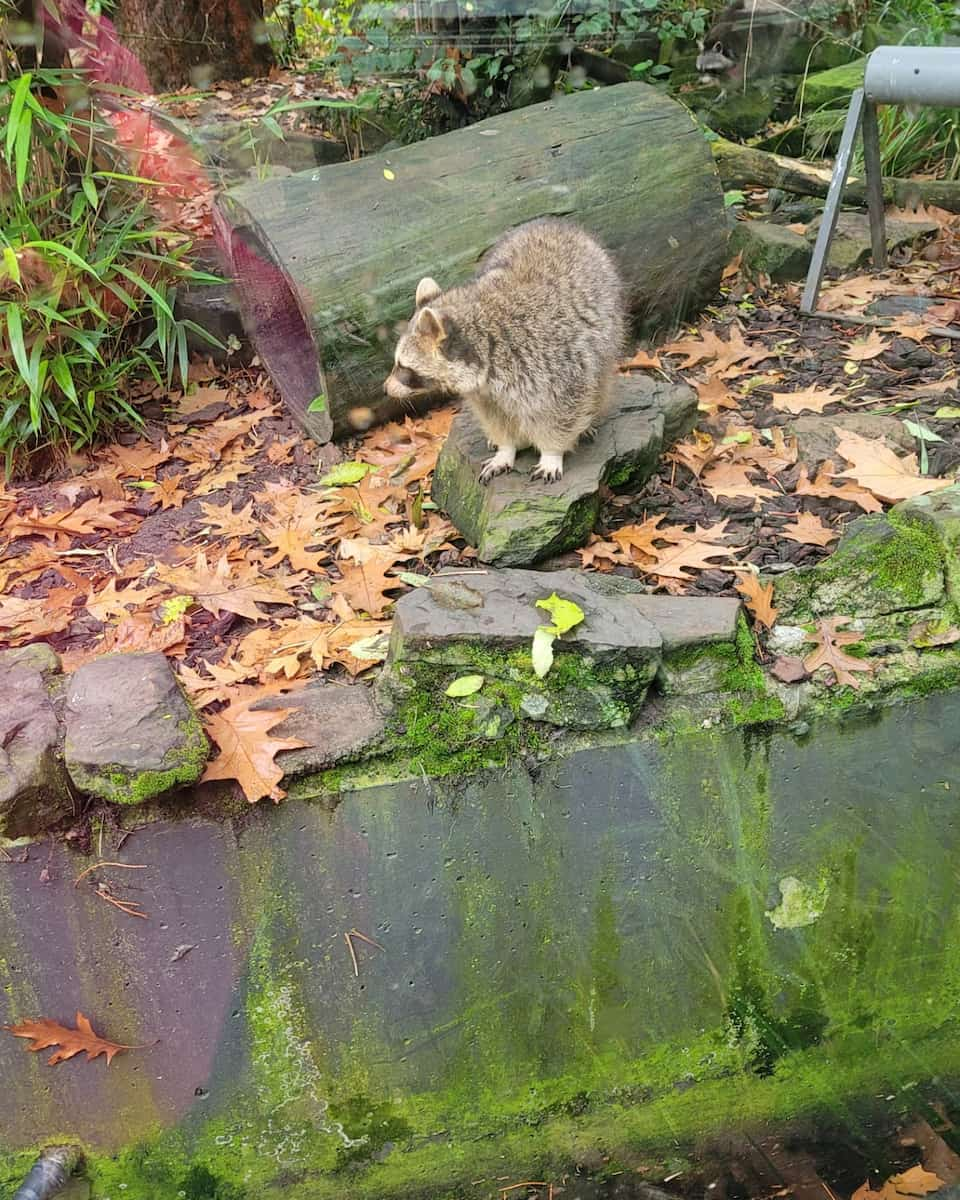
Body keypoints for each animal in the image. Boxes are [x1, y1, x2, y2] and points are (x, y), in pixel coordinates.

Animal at [386, 220, 624, 482]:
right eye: (397, 363)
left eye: (404, 367)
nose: (386, 388)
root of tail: (556, 224)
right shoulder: (485, 394)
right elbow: (497, 418)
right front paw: (506, 449)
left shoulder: (553, 361)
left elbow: (562, 411)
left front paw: (552, 452)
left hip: (607, 325)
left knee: (599, 377)